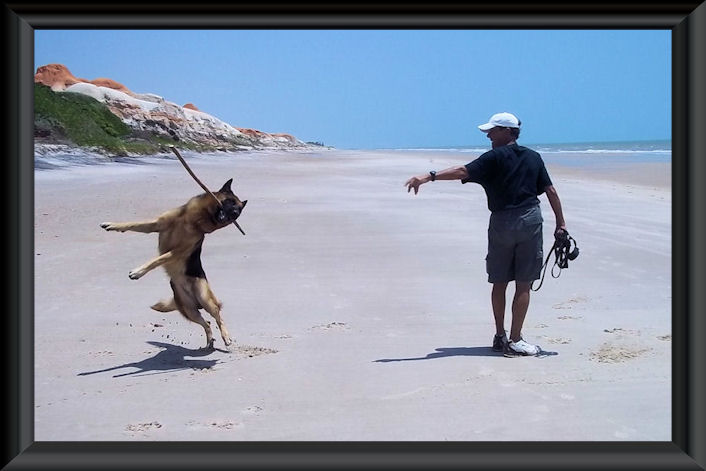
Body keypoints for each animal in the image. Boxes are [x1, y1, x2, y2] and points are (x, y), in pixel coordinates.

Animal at [100, 180, 246, 350]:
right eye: (229, 202)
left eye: (236, 213)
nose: (232, 213)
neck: (193, 219)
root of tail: (195, 301)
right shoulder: (155, 224)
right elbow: (132, 224)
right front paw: (112, 225)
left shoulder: (177, 252)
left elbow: (156, 260)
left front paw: (138, 272)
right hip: (188, 310)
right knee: (207, 323)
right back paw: (209, 341)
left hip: (205, 299)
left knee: (217, 317)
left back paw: (226, 337)